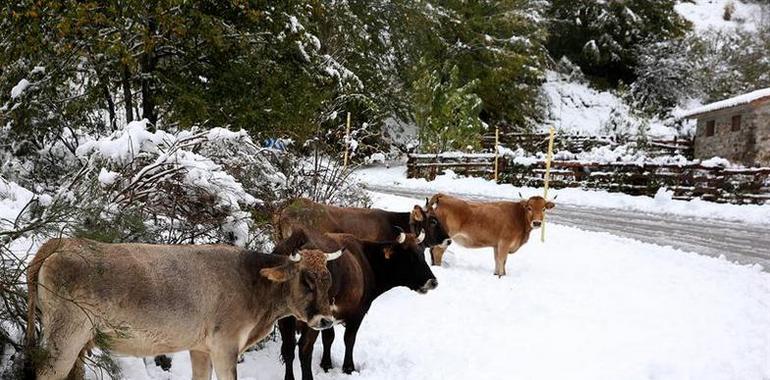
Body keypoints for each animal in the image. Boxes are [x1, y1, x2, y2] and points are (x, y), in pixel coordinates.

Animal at [25, 236, 340, 378]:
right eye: (306, 281)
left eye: (329, 281)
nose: (326, 320)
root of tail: (66, 241)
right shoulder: (225, 346)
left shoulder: (201, 348)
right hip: (65, 337)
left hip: (77, 342)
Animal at [272, 229, 436, 380]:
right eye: (410, 256)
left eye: (422, 253)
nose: (433, 282)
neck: (366, 259)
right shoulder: (358, 313)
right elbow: (349, 339)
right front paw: (348, 368)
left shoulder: (328, 318)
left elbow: (328, 338)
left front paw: (326, 365)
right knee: (304, 348)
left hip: (285, 319)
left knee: (288, 349)